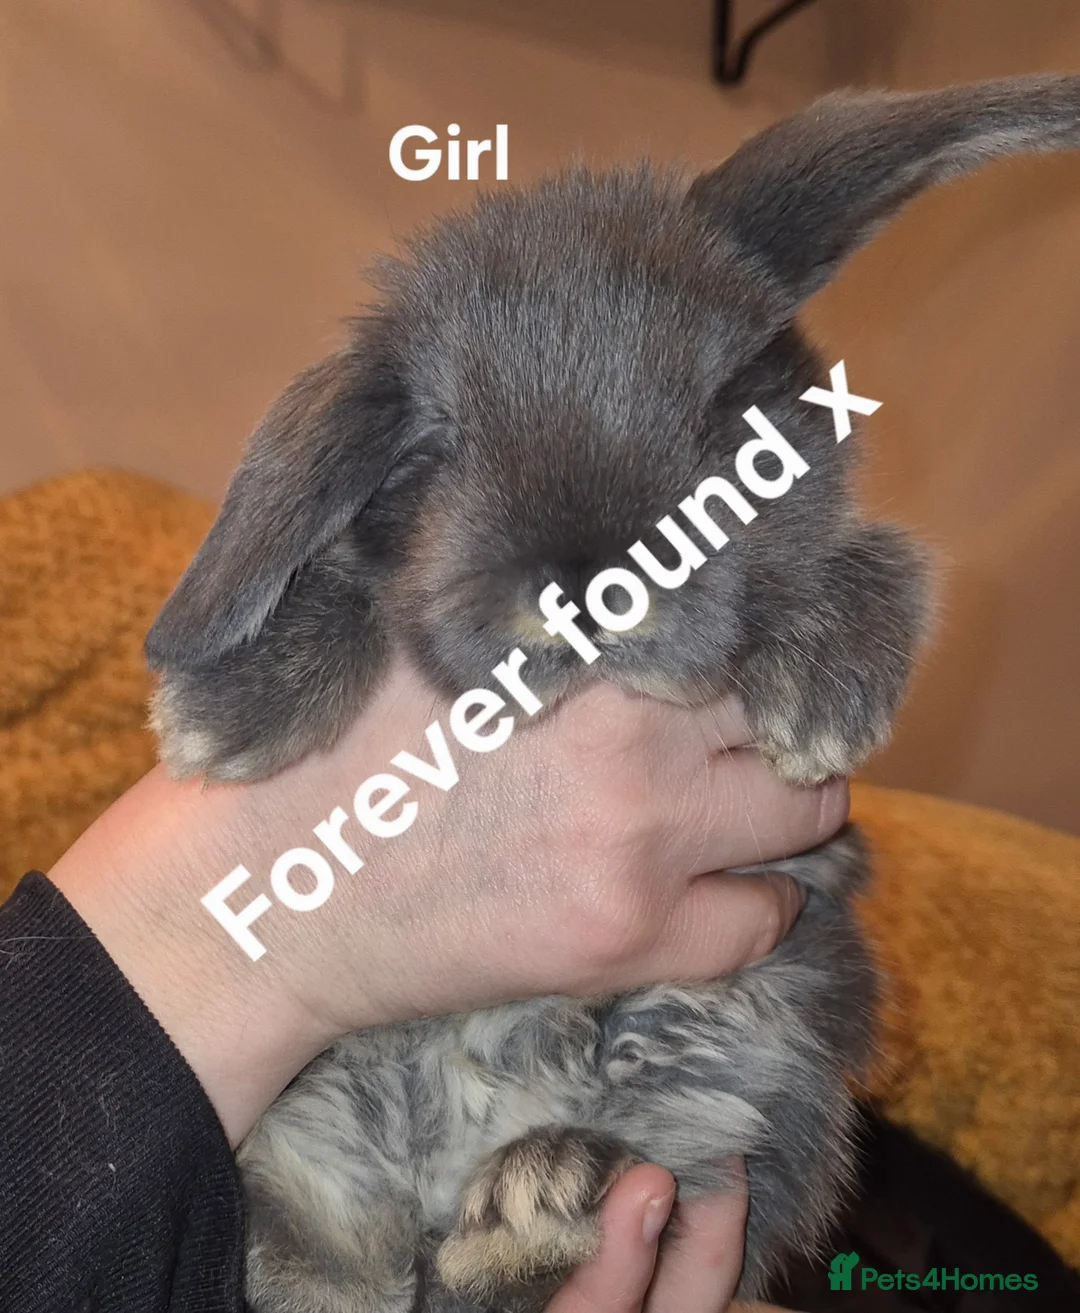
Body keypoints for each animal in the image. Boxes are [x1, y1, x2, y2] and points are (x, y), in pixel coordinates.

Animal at [145, 75, 1080, 1311]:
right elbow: (345, 575)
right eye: (439, 440)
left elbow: (882, 561)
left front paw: (821, 694)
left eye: (724, 401)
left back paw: (533, 1197)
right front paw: (228, 708)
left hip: (747, 1089)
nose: (591, 587)